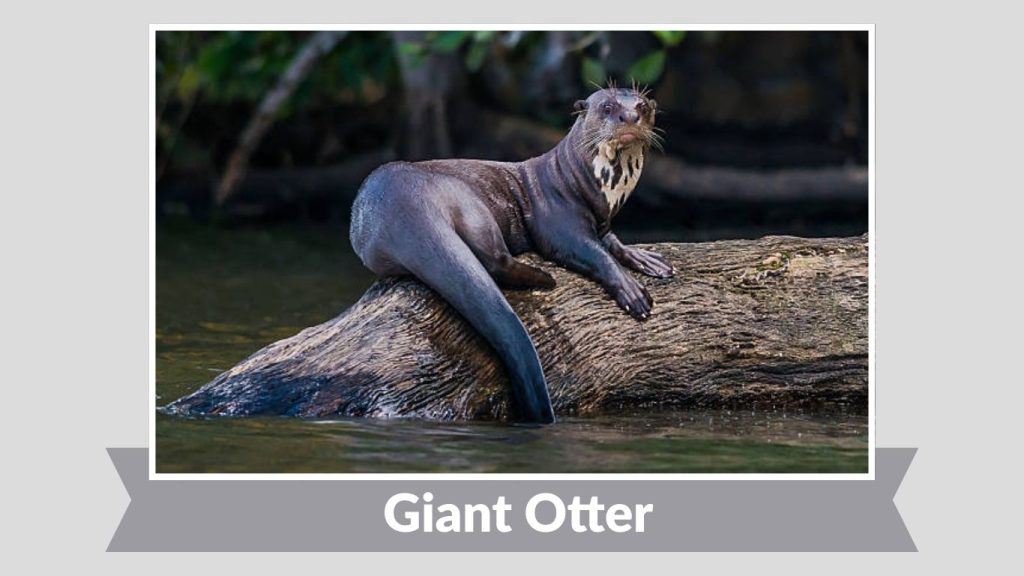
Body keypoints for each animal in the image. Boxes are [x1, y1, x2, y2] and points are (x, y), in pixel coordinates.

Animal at [349, 86, 673, 423]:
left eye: (642, 106)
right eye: (608, 107)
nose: (630, 117)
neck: (583, 184)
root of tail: (402, 204)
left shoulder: (603, 221)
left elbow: (612, 242)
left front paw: (646, 259)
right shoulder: (558, 222)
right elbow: (593, 252)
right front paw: (631, 291)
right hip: (468, 202)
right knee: (494, 260)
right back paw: (544, 278)